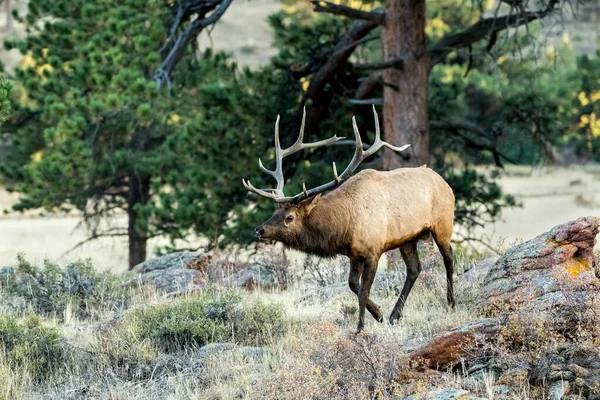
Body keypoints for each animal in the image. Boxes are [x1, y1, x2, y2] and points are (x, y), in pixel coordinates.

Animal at [244, 105, 454, 332]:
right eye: (275, 212)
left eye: (289, 217)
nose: (259, 230)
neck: (345, 226)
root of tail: (445, 183)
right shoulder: (354, 254)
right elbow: (353, 285)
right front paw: (379, 314)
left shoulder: (373, 251)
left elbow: (363, 291)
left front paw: (360, 328)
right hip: (407, 238)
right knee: (414, 269)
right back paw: (394, 315)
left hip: (443, 224)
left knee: (448, 257)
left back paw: (451, 301)